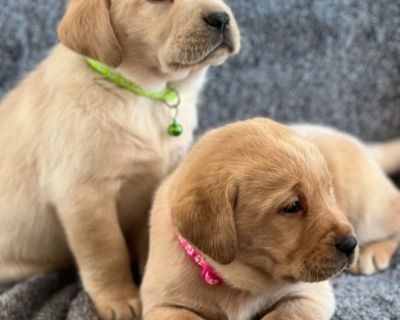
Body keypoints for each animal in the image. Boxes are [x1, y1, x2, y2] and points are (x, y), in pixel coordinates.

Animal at [0, 0, 239, 318]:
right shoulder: (85, 195)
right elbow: (107, 253)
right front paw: (119, 300)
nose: (221, 18)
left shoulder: (155, 185)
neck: (144, 95)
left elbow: (148, 240)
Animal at [141, 119, 356, 320]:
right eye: (292, 206)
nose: (350, 244)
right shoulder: (163, 304)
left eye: (328, 190)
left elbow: (281, 315)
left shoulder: (308, 296)